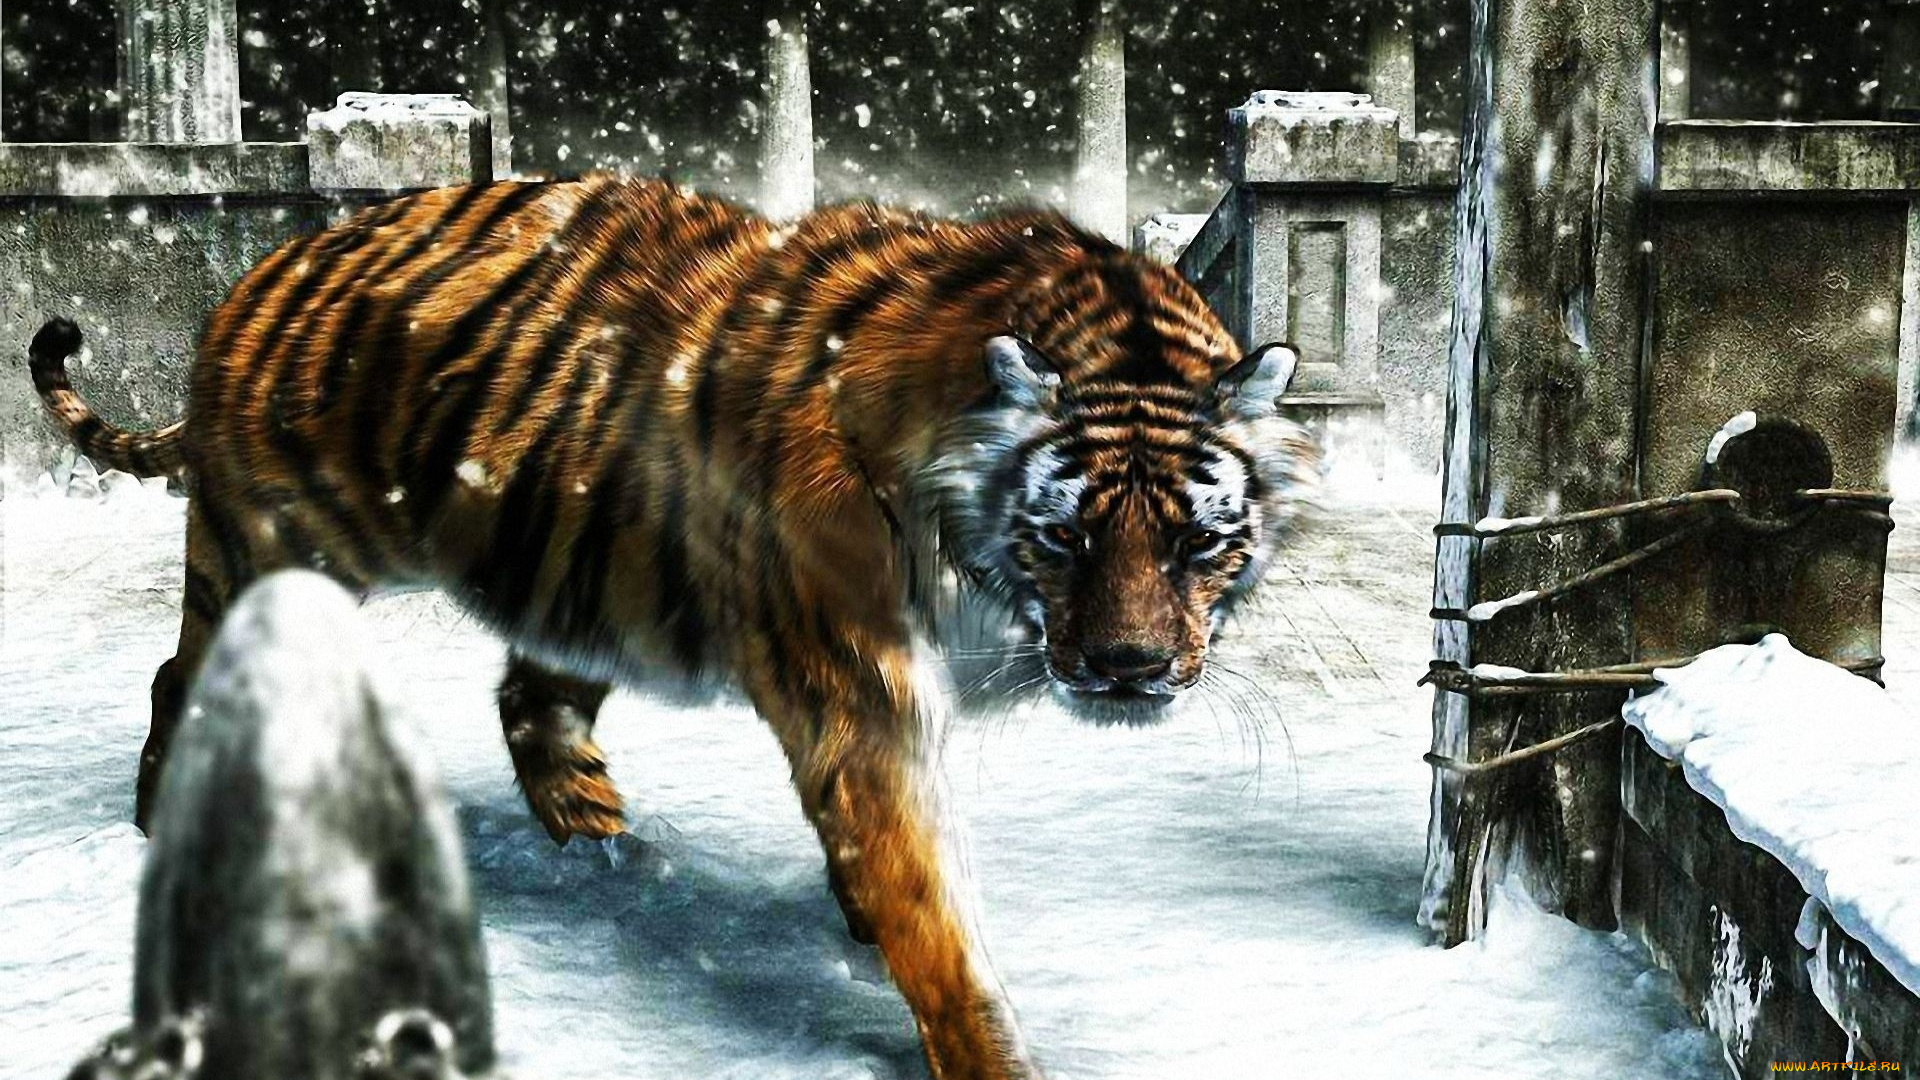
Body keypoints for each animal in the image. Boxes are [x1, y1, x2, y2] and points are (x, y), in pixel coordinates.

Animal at [28, 174, 1315, 1080]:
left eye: (1199, 543)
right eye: (1065, 537)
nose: (1131, 670)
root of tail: (267, 263)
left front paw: (852, 918)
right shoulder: (862, 695)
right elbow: (931, 907)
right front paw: (986, 1046)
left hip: (580, 574)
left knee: (531, 700)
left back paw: (606, 853)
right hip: (280, 545)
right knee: (181, 673)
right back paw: (165, 816)